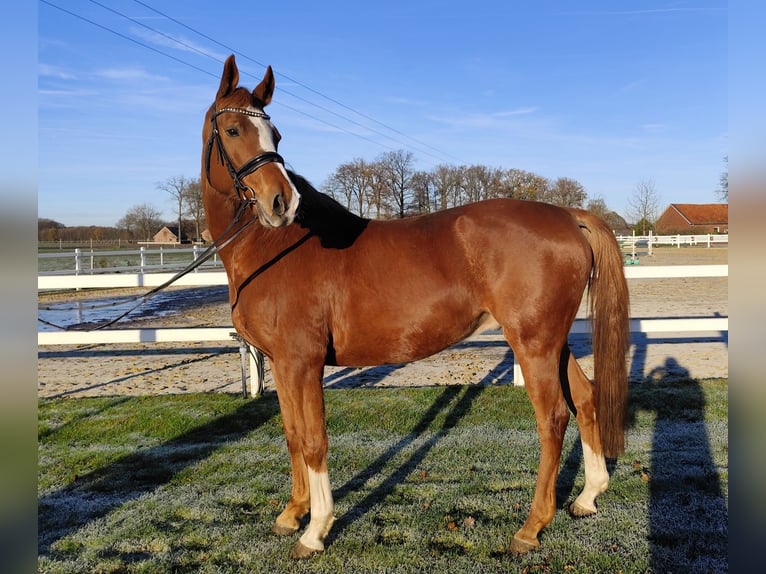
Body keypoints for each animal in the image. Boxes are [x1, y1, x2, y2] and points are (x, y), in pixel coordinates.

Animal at [202, 56, 632, 560]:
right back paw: (587, 496)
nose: (280, 202)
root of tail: (567, 215)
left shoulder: (301, 363)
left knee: (553, 418)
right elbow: (291, 436)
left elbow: (313, 440)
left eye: (277, 135)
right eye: (232, 129)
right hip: (552, 341)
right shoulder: (282, 363)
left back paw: (530, 527)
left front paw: (315, 530)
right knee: (584, 399)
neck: (279, 247)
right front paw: (292, 516)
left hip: (535, 344)